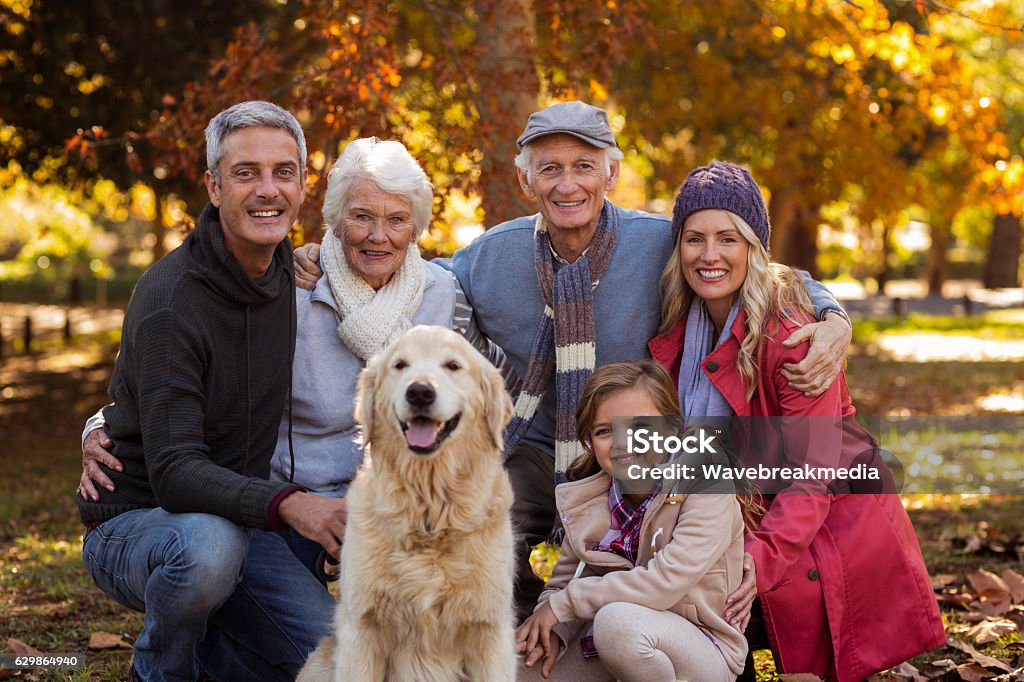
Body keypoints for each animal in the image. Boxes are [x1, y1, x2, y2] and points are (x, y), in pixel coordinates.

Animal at [296, 325, 520, 679]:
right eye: (400, 365)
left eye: (453, 366)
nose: (420, 392)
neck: (428, 512)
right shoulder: (362, 629)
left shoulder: (490, 630)